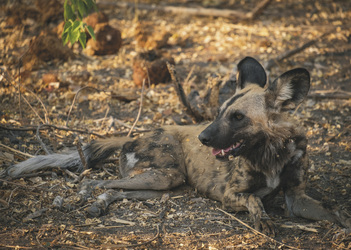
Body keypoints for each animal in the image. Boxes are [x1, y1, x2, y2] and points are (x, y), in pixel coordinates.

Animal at [4, 56, 350, 232]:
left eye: (237, 117)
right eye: (220, 113)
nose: (202, 138)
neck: (272, 153)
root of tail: (136, 133)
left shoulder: (297, 199)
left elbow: (333, 213)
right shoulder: (230, 194)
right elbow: (255, 199)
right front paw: (261, 220)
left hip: (164, 185)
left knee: (114, 190)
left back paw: (99, 205)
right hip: (164, 176)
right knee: (97, 181)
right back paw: (87, 197)